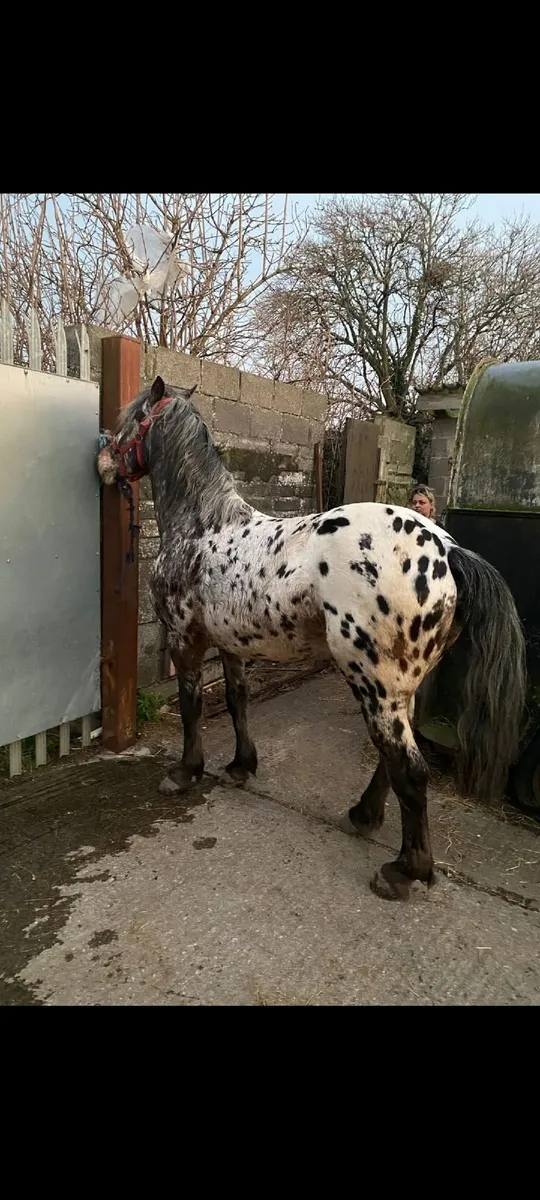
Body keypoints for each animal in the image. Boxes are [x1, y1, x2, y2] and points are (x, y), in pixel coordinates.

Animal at [96, 375, 527, 902]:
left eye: (130, 422)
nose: (103, 461)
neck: (204, 525)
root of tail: (448, 551)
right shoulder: (231, 645)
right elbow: (237, 702)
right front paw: (241, 765)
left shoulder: (185, 639)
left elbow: (191, 706)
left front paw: (185, 772)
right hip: (402, 688)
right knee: (392, 760)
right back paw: (365, 816)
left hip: (375, 684)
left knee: (409, 767)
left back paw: (403, 871)